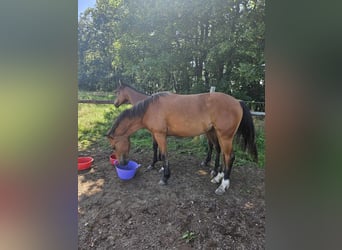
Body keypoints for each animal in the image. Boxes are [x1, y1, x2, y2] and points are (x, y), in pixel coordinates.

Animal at [107, 92, 256, 195]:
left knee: (229, 157)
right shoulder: (159, 135)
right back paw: (218, 177)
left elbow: (164, 154)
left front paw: (165, 177)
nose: (123, 164)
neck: (149, 109)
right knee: (224, 156)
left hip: (225, 137)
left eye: (113, 146)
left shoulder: (159, 135)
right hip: (218, 135)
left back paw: (223, 185)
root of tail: (237, 101)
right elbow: (162, 153)